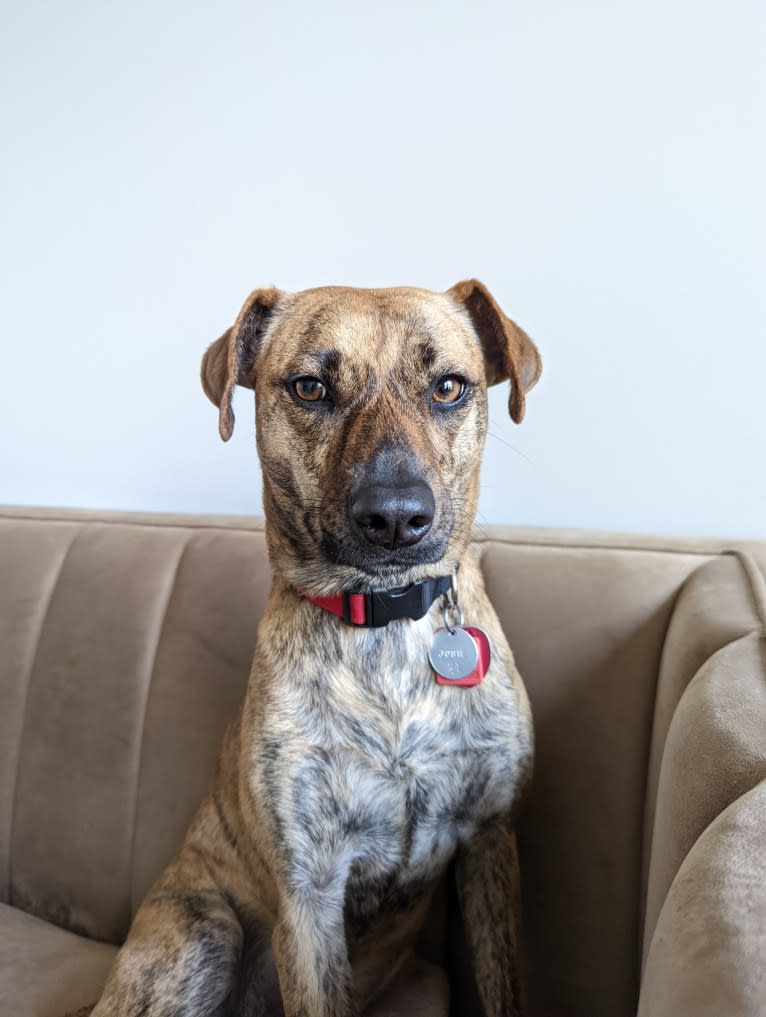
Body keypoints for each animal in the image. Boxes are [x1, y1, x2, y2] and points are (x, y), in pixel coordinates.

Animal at [82, 278, 537, 1016]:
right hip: (201, 932)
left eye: (448, 386)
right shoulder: (308, 890)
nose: (396, 517)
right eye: (310, 388)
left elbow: (504, 985)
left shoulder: (491, 841)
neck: (384, 626)